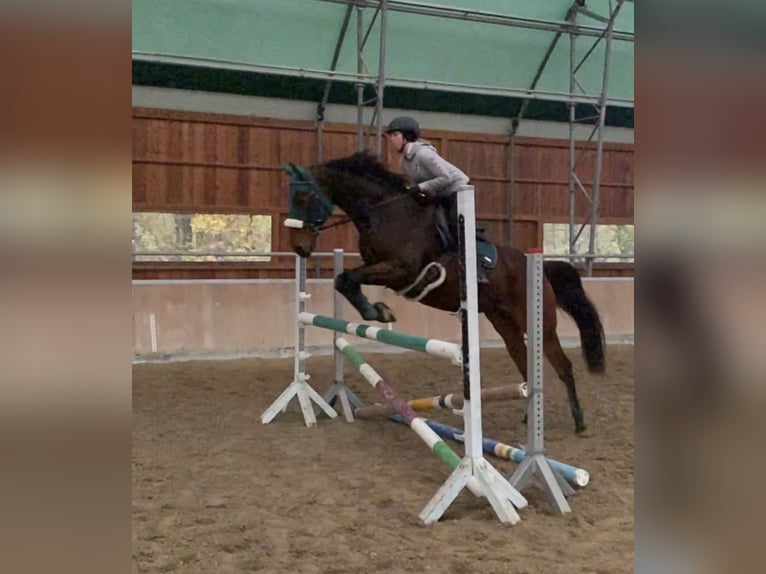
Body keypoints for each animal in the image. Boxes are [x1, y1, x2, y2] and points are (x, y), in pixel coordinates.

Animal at [282, 151, 608, 434]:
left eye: (302, 197)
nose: (298, 247)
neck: (386, 213)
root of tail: (539, 267)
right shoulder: (379, 267)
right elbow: (344, 280)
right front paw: (377, 311)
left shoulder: (401, 270)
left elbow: (347, 279)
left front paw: (380, 311)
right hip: (504, 324)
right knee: (525, 365)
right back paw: (530, 417)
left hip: (539, 323)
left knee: (562, 365)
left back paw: (579, 422)